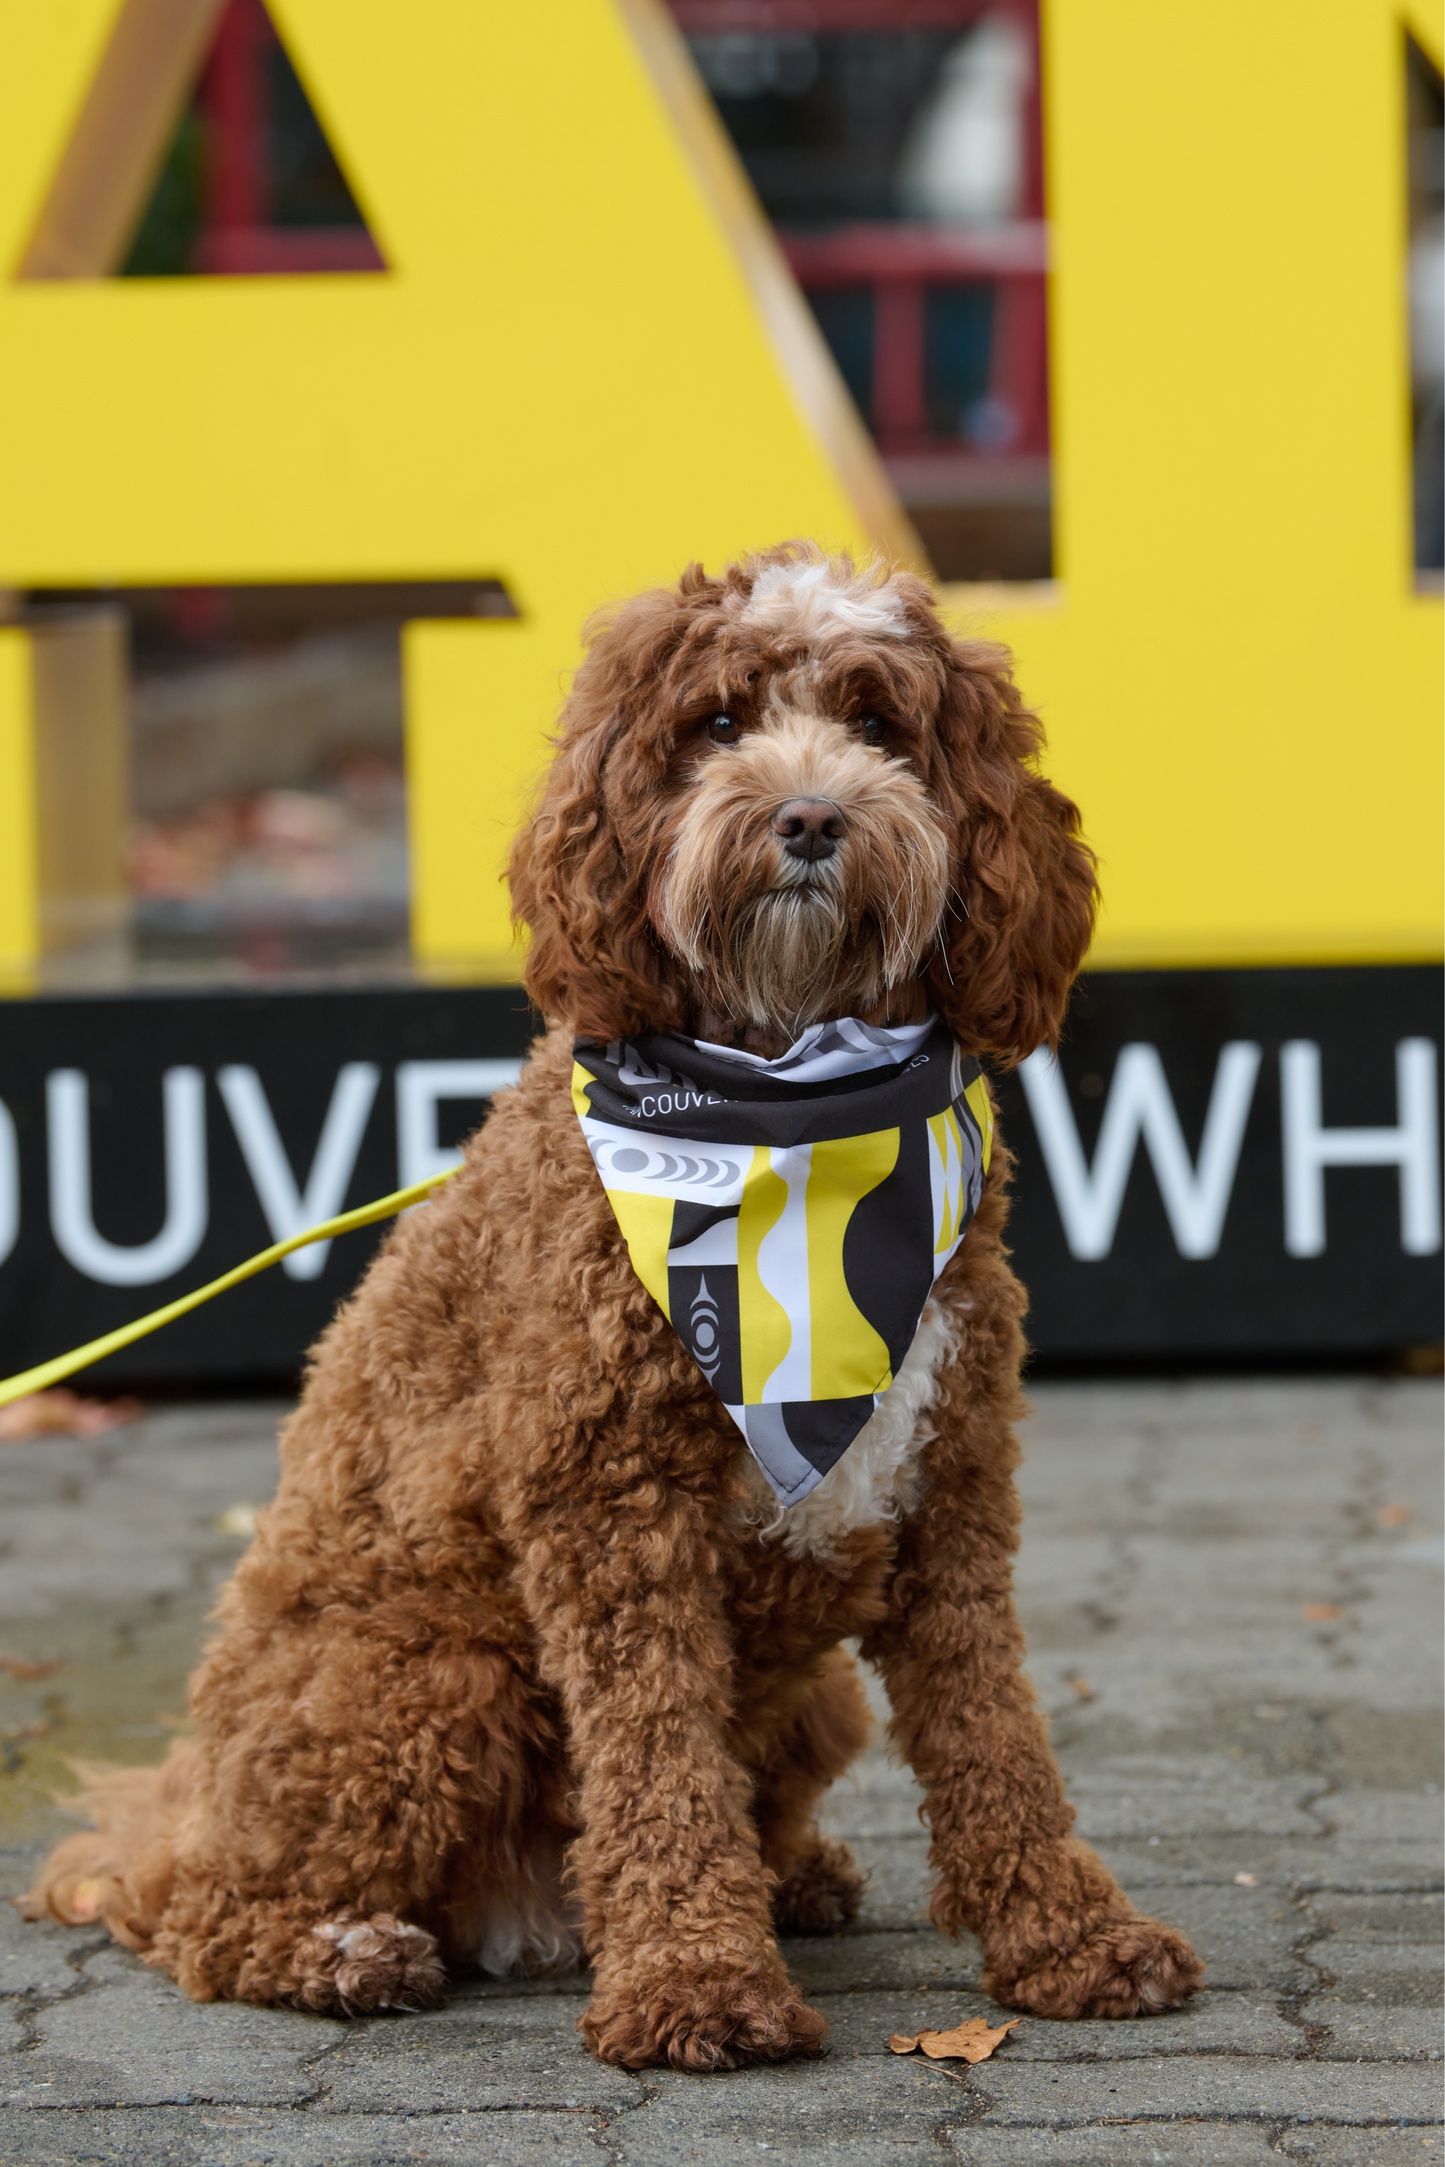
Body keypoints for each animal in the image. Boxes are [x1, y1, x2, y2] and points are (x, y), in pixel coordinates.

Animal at [22, 541, 1204, 2062]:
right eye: (715, 722)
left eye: (879, 721)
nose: (810, 815)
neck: (786, 1099)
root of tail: (179, 1802)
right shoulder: (611, 1509)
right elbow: (654, 1755)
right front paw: (697, 1978)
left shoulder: (952, 1487)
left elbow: (993, 1725)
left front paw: (1071, 1937)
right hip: (425, 1675)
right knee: (202, 1916)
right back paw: (342, 1948)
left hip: (813, 1695)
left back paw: (793, 1876)